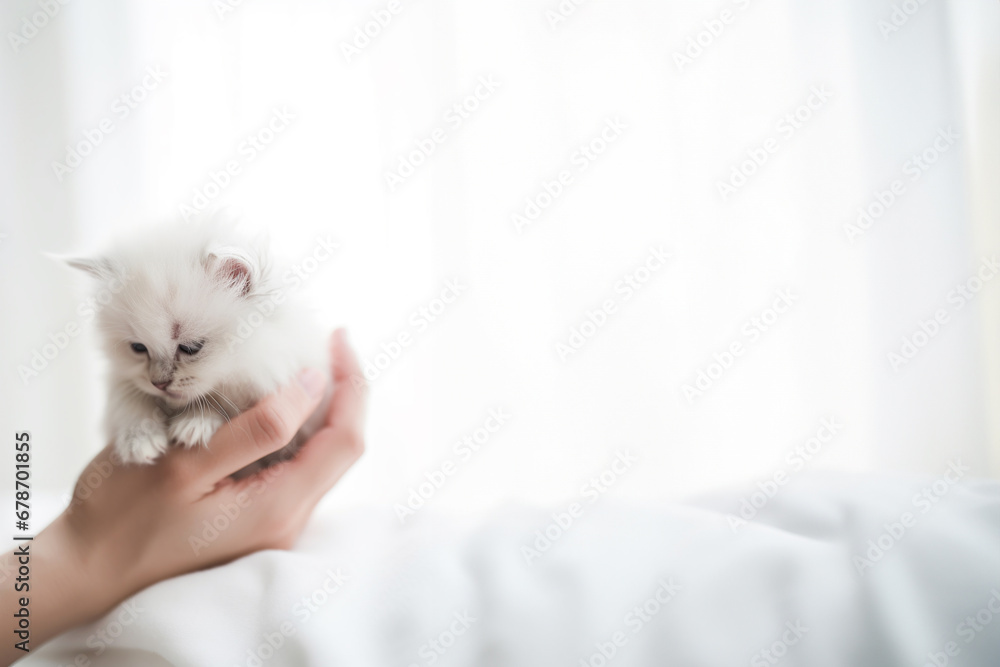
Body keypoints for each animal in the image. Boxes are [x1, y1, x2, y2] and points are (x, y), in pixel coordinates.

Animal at [66, 222, 332, 472]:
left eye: (191, 348)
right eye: (138, 348)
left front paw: (194, 423)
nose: (159, 384)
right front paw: (138, 440)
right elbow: (128, 399)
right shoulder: (123, 380)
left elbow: (221, 402)